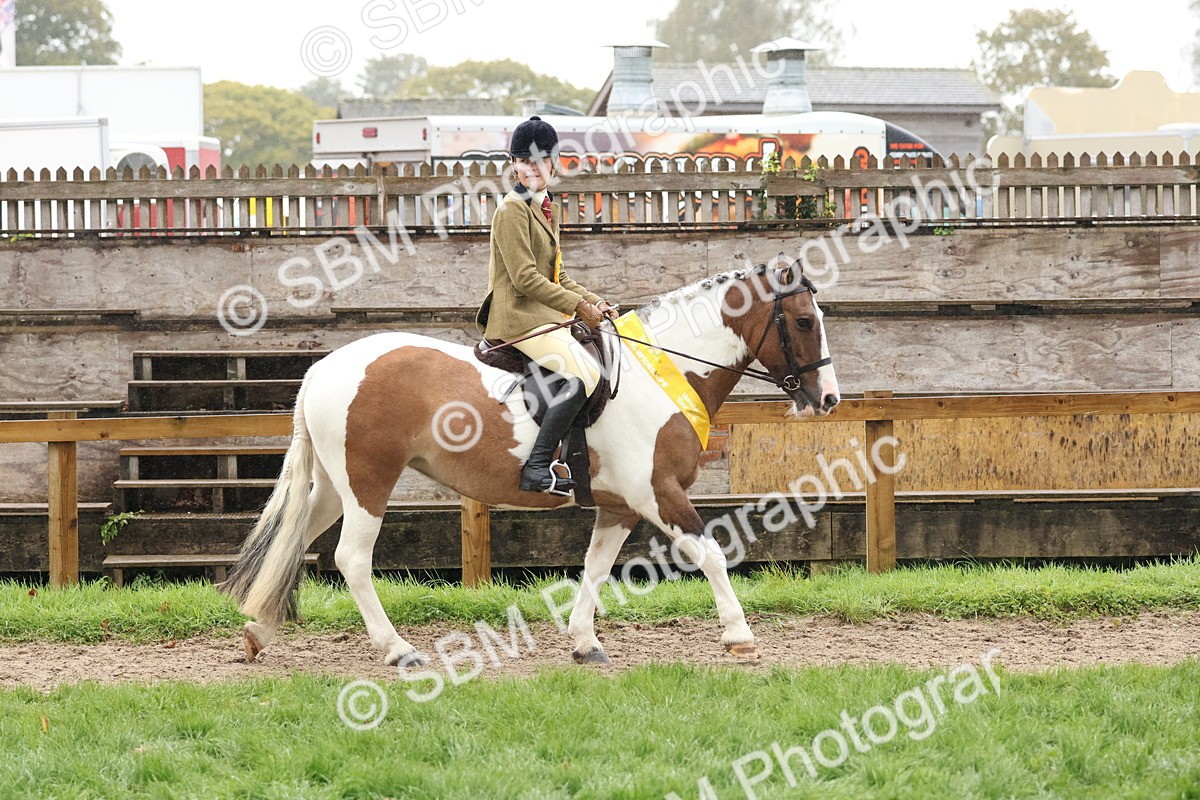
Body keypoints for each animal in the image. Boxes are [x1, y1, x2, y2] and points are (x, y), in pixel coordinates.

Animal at [223, 259, 840, 666]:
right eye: (804, 322)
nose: (829, 399)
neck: (661, 371)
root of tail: (325, 367)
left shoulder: (620, 506)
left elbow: (595, 567)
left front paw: (585, 643)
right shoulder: (657, 492)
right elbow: (711, 553)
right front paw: (739, 636)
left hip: (336, 483)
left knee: (298, 539)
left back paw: (259, 633)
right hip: (368, 481)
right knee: (351, 558)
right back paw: (398, 650)